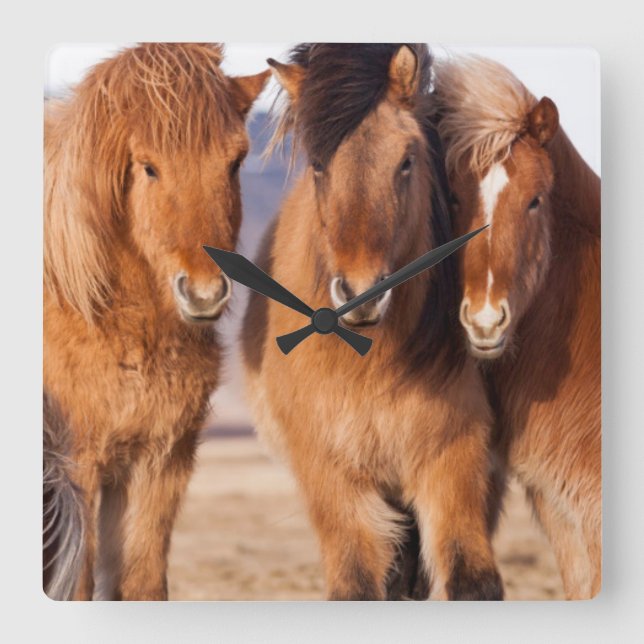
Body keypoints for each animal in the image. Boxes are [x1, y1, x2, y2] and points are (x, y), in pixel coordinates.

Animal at [43, 43, 269, 600]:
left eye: (236, 162)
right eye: (148, 167)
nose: (205, 291)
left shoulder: (160, 462)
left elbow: (143, 583)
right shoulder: (78, 465)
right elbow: (79, 584)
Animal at [241, 43, 503, 601]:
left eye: (407, 161)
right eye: (318, 165)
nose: (360, 295)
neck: (368, 365)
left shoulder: (455, 458)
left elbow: (471, 580)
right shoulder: (331, 474)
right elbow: (356, 583)